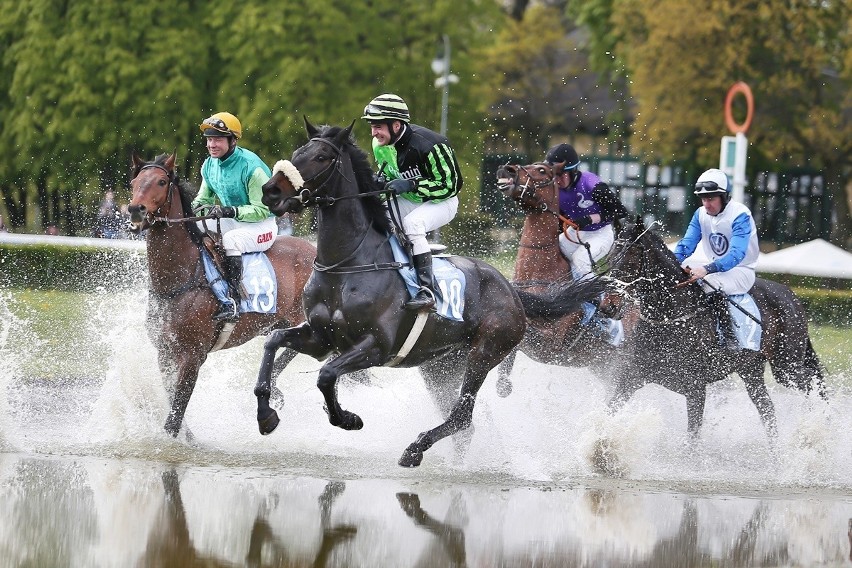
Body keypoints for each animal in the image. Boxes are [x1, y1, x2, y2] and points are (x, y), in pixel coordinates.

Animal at [130, 153, 320, 438]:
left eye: (161, 182)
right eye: (134, 182)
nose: (135, 210)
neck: (179, 281)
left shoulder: (193, 355)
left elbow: (175, 414)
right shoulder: (165, 352)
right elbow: (174, 404)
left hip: (304, 320)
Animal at [253, 120, 604, 466]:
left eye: (322, 157)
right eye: (298, 153)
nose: (270, 191)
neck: (348, 265)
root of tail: (512, 290)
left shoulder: (374, 346)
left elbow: (326, 375)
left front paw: (347, 418)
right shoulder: (322, 338)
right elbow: (274, 343)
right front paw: (266, 415)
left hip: (484, 354)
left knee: (463, 415)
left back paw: (415, 448)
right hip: (440, 368)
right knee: (465, 424)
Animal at [604, 219, 824, 440]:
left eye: (631, 258)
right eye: (611, 256)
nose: (608, 306)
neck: (670, 317)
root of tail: (789, 293)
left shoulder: (696, 388)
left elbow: (692, 437)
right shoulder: (632, 377)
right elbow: (609, 412)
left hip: (786, 366)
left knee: (812, 384)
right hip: (751, 370)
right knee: (767, 408)